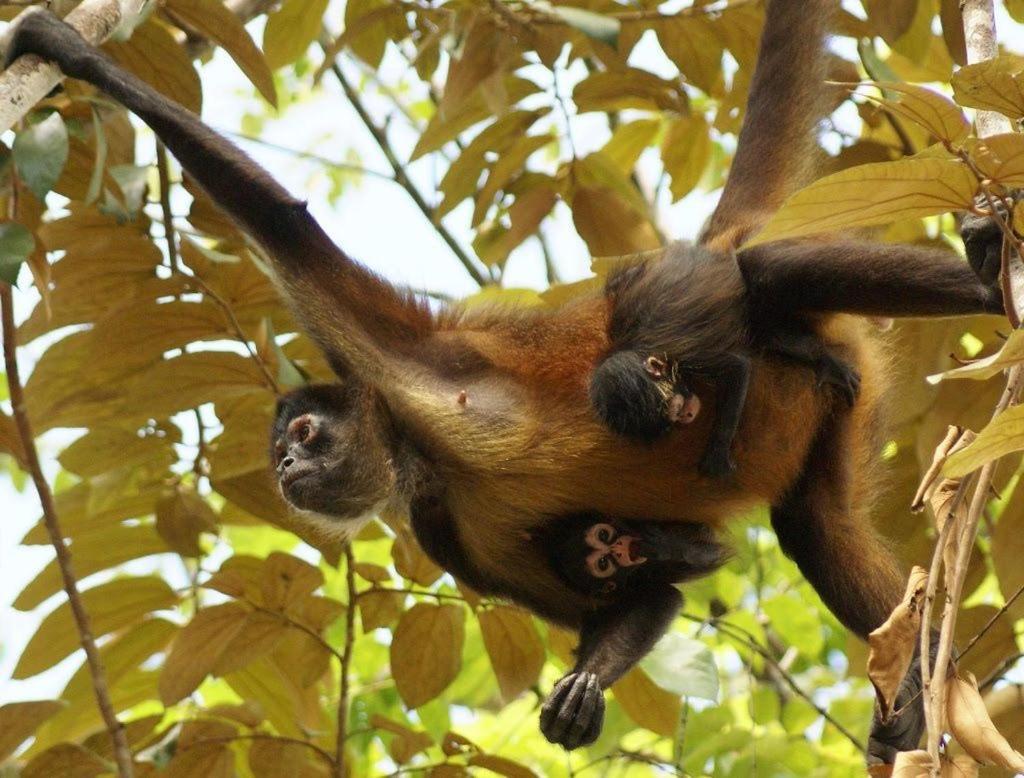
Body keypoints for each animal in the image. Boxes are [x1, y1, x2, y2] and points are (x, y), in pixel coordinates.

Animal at [4, 3, 1003, 761]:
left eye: (302, 436)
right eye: (278, 451)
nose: (284, 471)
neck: (428, 459)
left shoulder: (425, 367)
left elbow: (283, 223)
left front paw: (69, 51)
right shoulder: (450, 535)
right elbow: (650, 594)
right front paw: (584, 685)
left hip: (762, 301)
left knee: (768, 275)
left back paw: (992, 275)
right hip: (835, 398)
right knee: (816, 527)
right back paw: (923, 695)